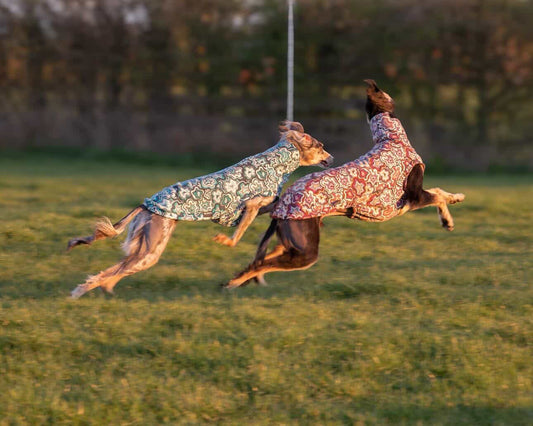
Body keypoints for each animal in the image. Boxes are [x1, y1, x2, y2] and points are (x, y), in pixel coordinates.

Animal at [67, 121, 333, 298]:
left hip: (147, 247)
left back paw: (106, 288)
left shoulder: (265, 206)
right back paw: (80, 291)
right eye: (321, 146)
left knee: (118, 268)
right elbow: (236, 238)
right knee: (109, 272)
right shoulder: (252, 206)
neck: (278, 160)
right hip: (151, 249)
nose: (331, 159)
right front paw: (223, 240)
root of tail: (147, 203)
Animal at [225, 80, 465, 288]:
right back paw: (234, 283)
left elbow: (439, 192)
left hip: (291, 241)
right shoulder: (413, 197)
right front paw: (450, 214)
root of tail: (283, 200)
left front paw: (453, 206)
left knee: (264, 257)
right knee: (261, 264)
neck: (391, 139)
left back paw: (238, 279)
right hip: (306, 250)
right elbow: (438, 194)